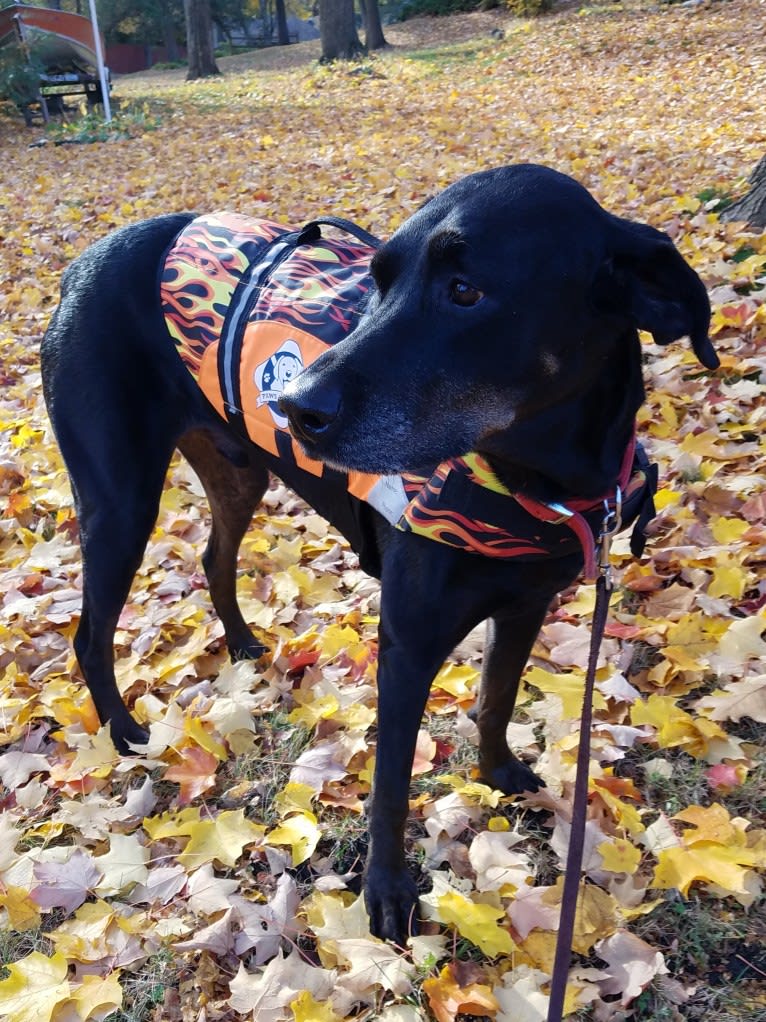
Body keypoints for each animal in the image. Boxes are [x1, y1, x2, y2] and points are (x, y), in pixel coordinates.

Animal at [39, 165, 719, 940]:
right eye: (378, 279)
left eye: (465, 290)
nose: (294, 407)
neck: (535, 480)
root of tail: (80, 266)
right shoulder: (407, 647)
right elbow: (391, 784)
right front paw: (387, 893)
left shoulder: (525, 606)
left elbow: (495, 699)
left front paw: (496, 774)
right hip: (120, 501)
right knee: (91, 633)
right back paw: (123, 730)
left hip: (237, 471)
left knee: (214, 558)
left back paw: (241, 643)